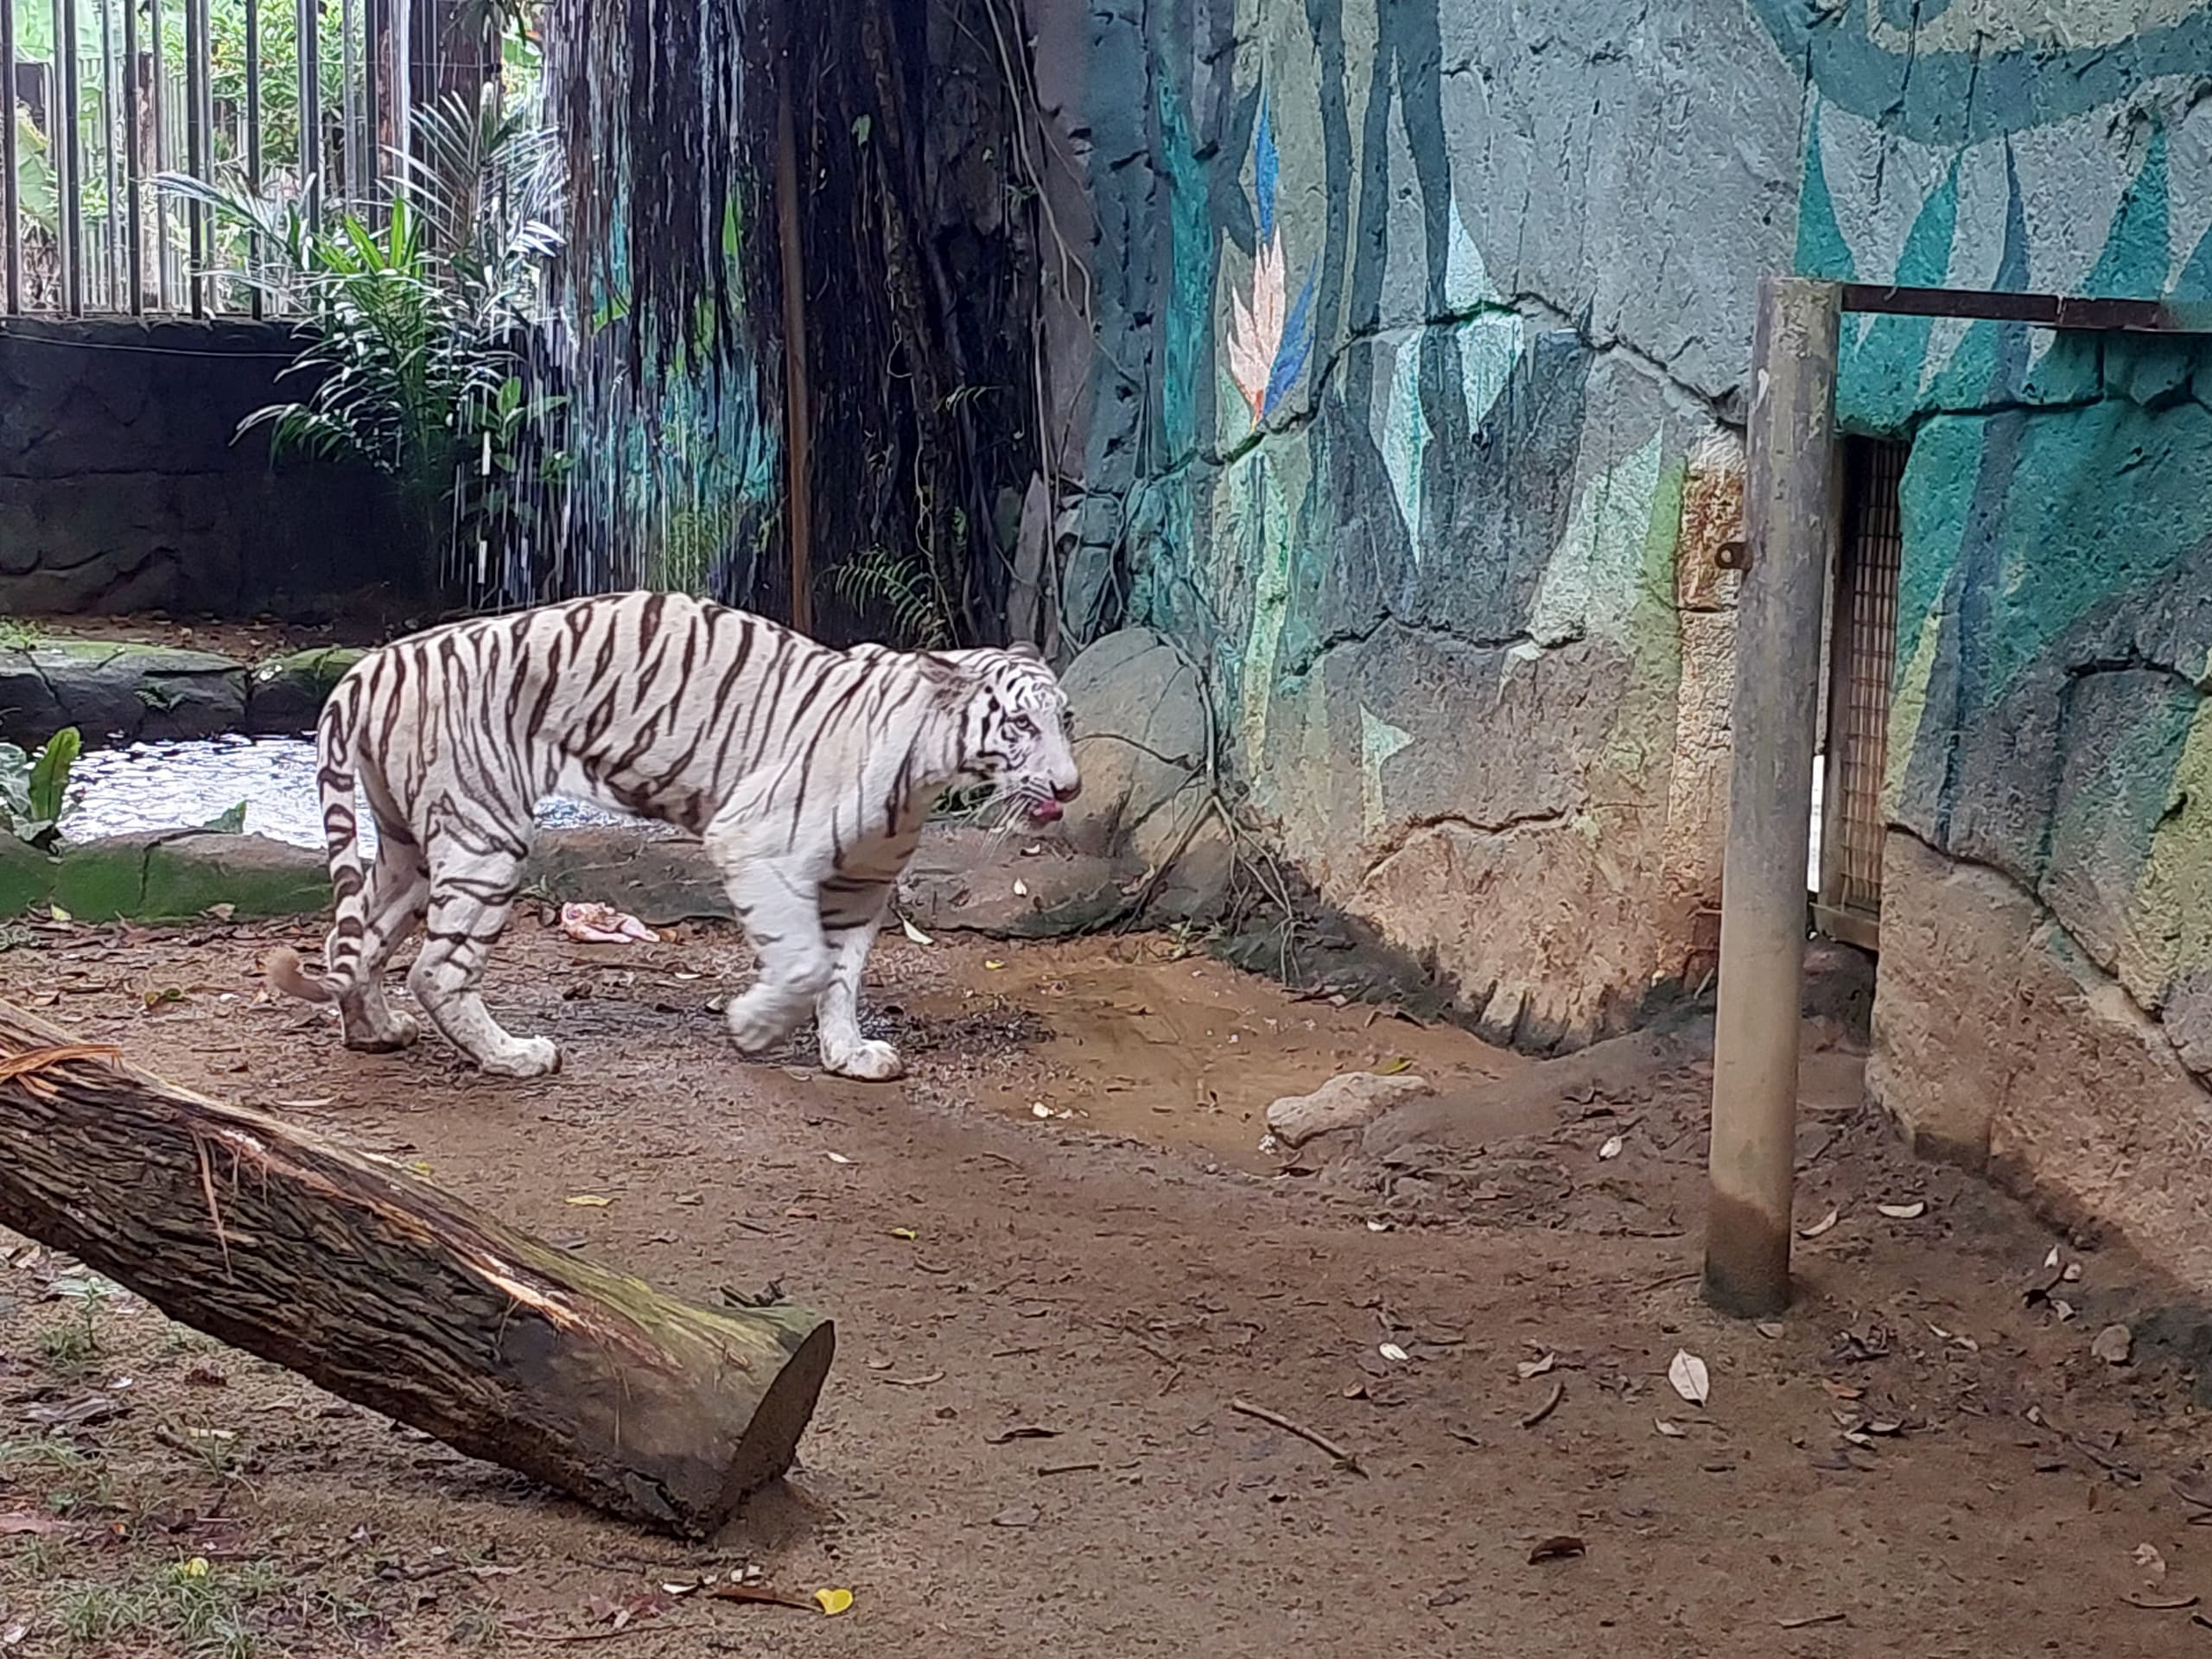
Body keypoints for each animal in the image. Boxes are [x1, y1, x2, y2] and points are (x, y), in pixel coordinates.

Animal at [267, 593, 1079, 1084]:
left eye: (1064, 718)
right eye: (1019, 724)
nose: (1070, 787)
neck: (925, 766)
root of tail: (364, 670)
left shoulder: (862, 882)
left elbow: (843, 975)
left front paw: (848, 1053)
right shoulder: (757, 844)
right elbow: (806, 965)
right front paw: (752, 1030)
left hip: (410, 848)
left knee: (352, 939)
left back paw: (375, 1030)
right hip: (483, 835)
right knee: (437, 968)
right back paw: (514, 1056)